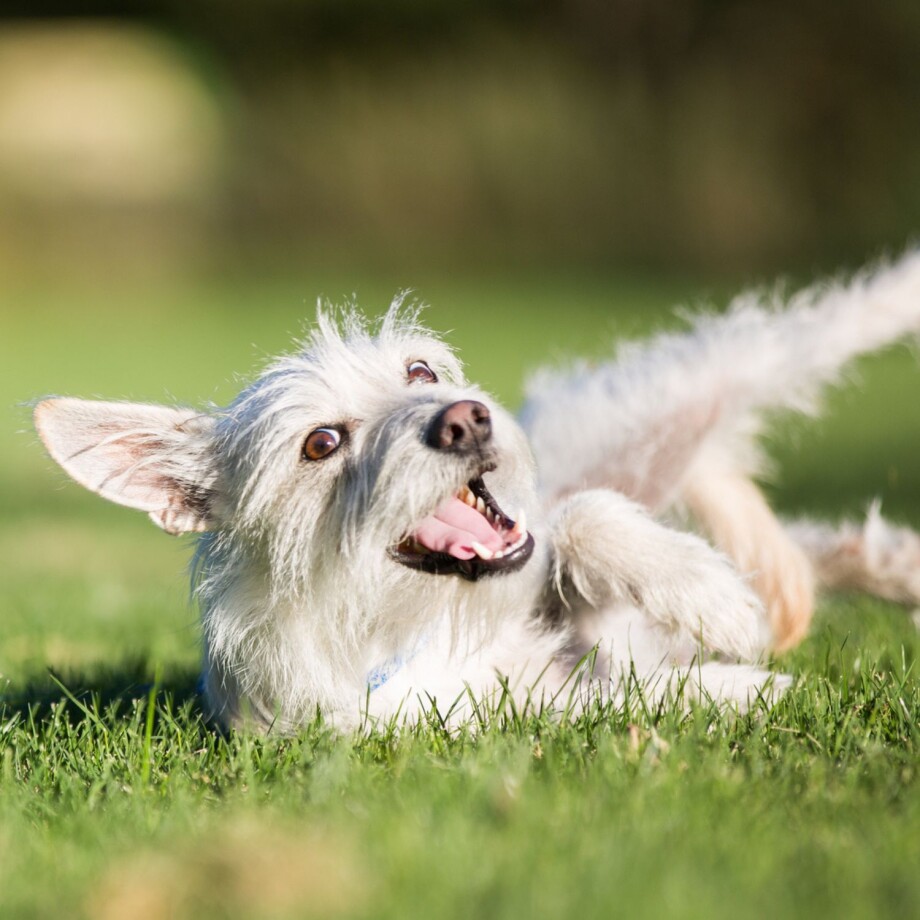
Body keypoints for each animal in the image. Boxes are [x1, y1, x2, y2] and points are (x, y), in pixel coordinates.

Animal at [32, 252, 920, 732]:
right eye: (321, 443)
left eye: (420, 372)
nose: (463, 421)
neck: (405, 626)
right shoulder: (483, 717)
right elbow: (612, 698)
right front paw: (735, 686)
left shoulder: (546, 563)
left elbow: (583, 520)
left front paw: (713, 600)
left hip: (699, 383)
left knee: (836, 320)